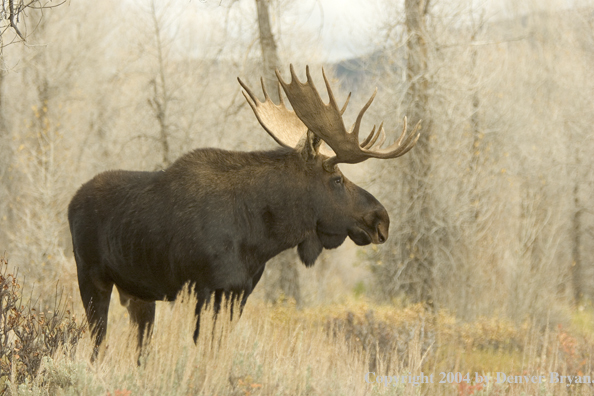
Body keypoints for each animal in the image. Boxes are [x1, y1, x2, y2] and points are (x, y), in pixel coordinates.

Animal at [67, 65, 418, 356]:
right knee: (98, 345)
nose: (381, 220)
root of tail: (71, 202)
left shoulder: (240, 292)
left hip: (139, 294)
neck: (261, 239)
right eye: (337, 178)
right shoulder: (205, 289)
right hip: (91, 278)